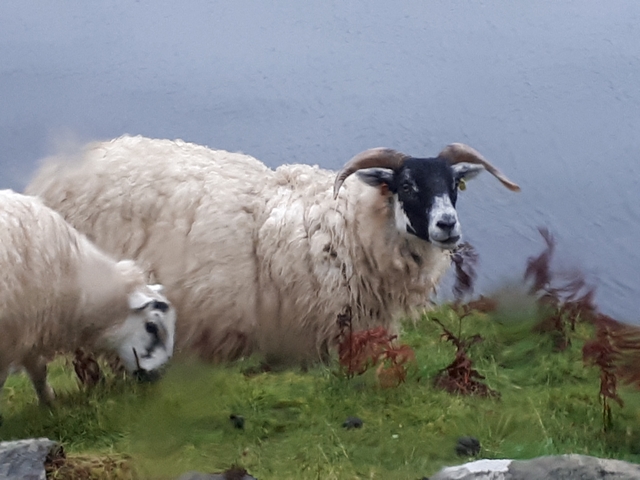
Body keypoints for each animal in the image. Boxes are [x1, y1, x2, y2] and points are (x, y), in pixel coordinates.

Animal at [0, 189, 176, 418]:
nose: (156, 378)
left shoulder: (29, 326)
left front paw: (49, 402)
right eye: (151, 327)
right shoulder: (11, 331)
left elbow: (38, 369)